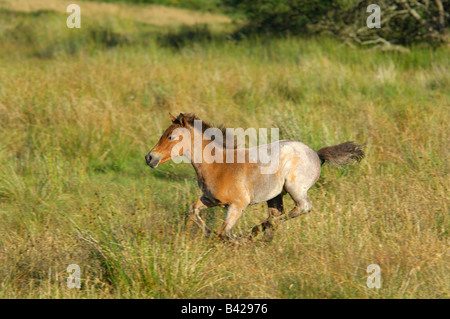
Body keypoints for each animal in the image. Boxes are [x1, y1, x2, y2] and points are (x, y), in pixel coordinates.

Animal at [146, 114, 364, 241]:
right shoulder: (210, 199)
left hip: (295, 188)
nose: (149, 157)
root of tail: (316, 155)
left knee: (302, 208)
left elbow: (225, 231)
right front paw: (211, 235)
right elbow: (193, 212)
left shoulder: (237, 204)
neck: (219, 165)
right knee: (276, 214)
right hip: (275, 195)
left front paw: (235, 240)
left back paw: (254, 232)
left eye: (171, 137)